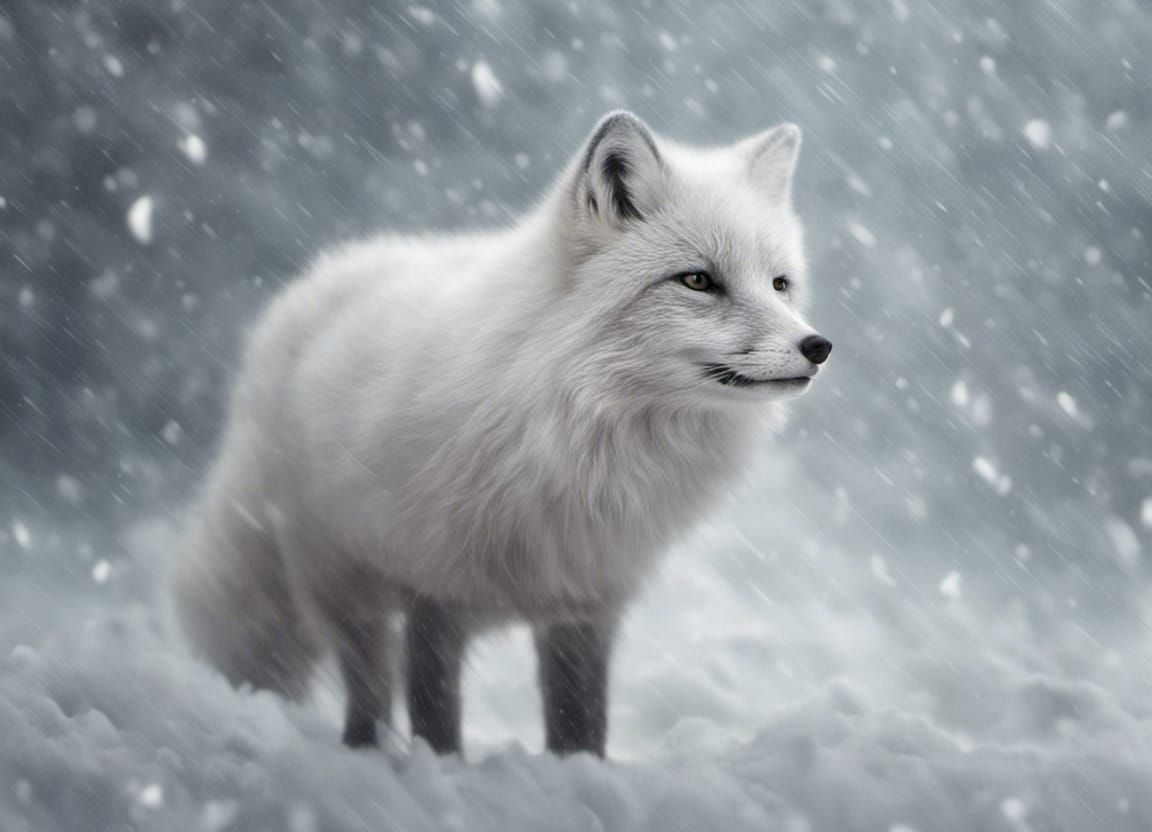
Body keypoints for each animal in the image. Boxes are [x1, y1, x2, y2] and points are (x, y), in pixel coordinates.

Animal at [172, 110, 831, 758]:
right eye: (697, 281)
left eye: (779, 284)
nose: (818, 346)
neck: (572, 434)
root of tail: (323, 275)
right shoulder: (433, 589)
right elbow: (435, 714)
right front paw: (439, 771)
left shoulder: (584, 600)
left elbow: (580, 724)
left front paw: (578, 774)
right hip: (341, 582)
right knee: (368, 691)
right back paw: (366, 753)